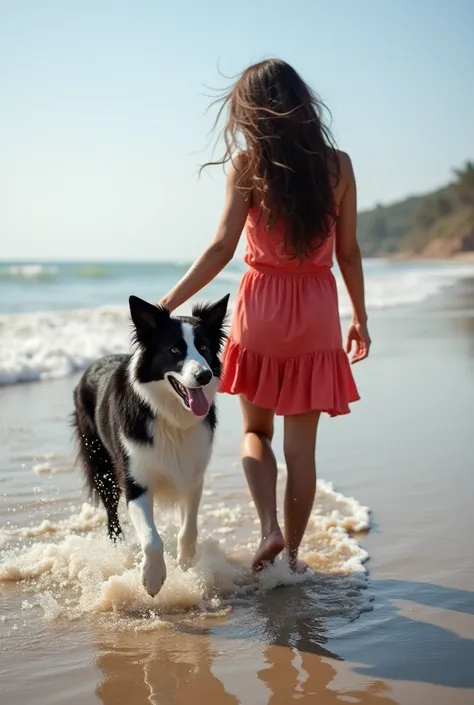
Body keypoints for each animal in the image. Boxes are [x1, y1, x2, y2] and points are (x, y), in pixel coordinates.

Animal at [72, 294, 230, 596]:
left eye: (203, 347)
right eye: (174, 350)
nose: (204, 375)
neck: (169, 416)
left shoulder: (193, 475)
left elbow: (189, 528)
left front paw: (187, 562)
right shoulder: (135, 481)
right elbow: (152, 539)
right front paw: (153, 578)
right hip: (102, 465)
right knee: (111, 514)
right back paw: (117, 549)